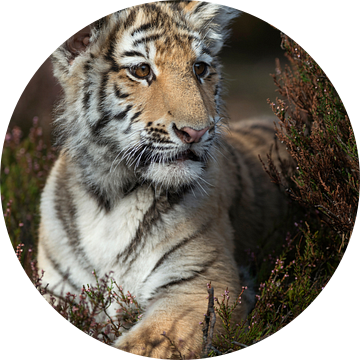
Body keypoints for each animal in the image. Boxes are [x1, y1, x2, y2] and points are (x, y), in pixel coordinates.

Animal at [36, 1, 288, 358]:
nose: (197, 132)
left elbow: (145, 344)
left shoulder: (201, 286)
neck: (110, 195)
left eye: (199, 68)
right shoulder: (59, 290)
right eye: (142, 70)